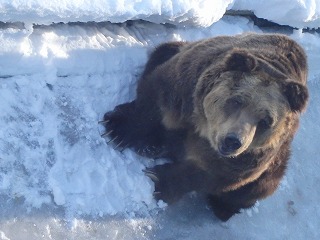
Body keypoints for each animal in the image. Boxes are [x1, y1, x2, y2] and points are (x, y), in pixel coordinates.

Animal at [101, 33, 308, 221]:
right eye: (236, 100)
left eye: (265, 121)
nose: (233, 141)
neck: (203, 127)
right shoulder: (185, 89)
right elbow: (154, 100)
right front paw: (117, 129)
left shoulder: (250, 157)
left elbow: (211, 175)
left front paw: (158, 179)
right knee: (162, 51)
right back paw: (152, 145)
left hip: (276, 161)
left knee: (261, 186)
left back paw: (224, 207)